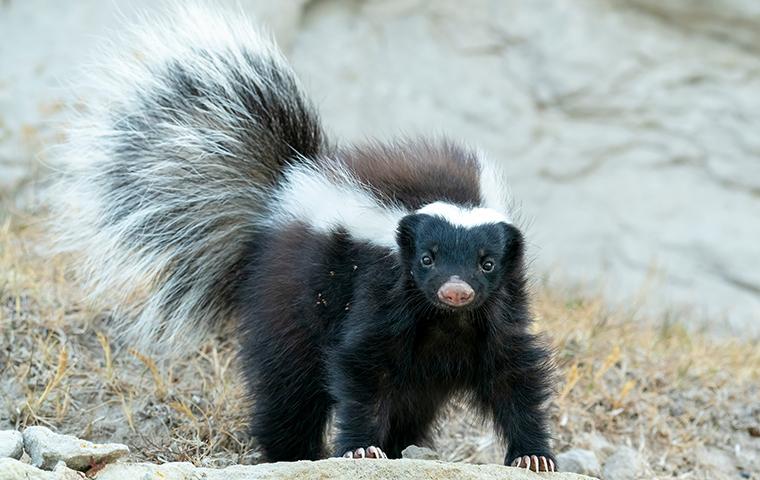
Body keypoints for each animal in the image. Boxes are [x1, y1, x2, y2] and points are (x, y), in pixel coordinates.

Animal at [52, 2, 552, 468]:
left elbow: (514, 375)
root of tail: (287, 184)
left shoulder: (498, 309)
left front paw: (533, 455)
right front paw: (362, 448)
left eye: (486, 262)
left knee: (409, 402)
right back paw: (291, 452)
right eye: (426, 259)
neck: (445, 322)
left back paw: (399, 446)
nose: (455, 291)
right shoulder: (379, 291)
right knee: (288, 386)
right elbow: (360, 367)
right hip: (288, 298)